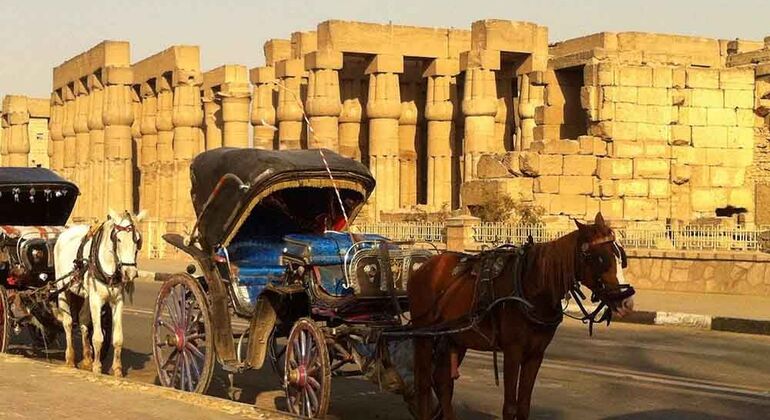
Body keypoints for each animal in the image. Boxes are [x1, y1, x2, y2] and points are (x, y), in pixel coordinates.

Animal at [54, 210, 146, 378]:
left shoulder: (117, 300)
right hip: (62, 287)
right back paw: (70, 358)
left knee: (83, 320)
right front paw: (97, 367)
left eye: (137, 240)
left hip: (86, 295)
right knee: (68, 322)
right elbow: (98, 337)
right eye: (118, 239)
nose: (130, 273)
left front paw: (117, 369)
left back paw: (86, 359)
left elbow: (118, 338)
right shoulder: (96, 300)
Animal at [408, 213, 636, 420]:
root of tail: (425, 266)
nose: (627, 303)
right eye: (600, 258)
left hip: (454, 336)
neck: (531, 287)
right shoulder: (512, 352)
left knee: (442, 381)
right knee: (423, 384)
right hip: (423, 335)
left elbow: (524, 405)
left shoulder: (536, 354)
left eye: (621, 257)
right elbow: (510, 406)